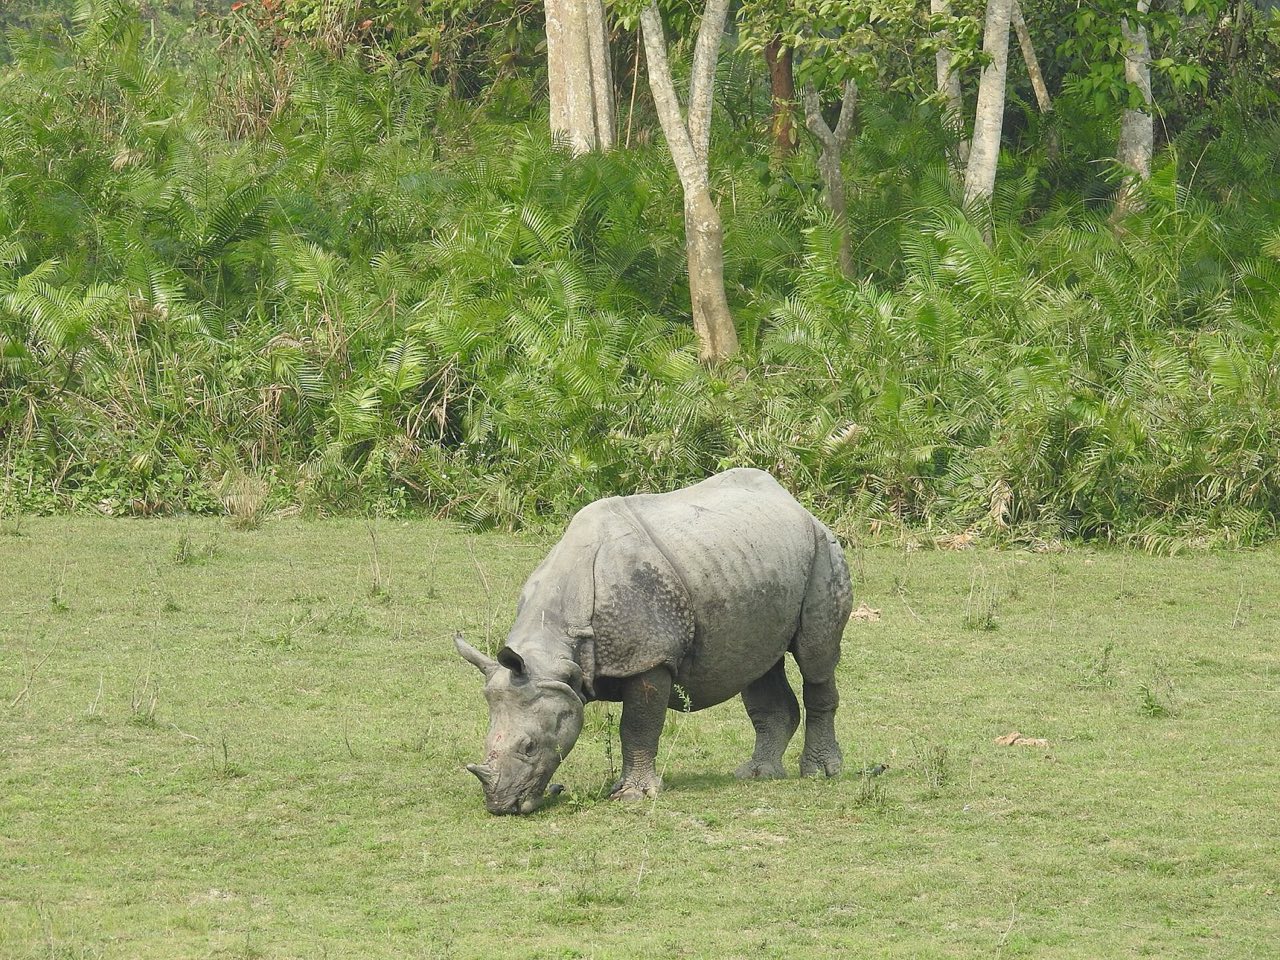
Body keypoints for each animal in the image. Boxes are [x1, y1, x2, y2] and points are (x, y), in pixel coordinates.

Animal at [455, 468, 853, 815]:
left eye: (529, 746)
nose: (501, 806)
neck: (559, 651)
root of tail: (796, 505)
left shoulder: (649, 657)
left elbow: (637, 725)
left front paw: (633, 795)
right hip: (754, 564)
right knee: (757, 665)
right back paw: (756, 774)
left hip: (823, 550)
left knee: (815, 660)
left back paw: (819, 773)